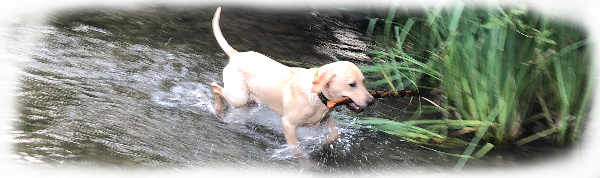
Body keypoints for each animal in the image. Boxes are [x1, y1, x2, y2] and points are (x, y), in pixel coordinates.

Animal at [209, 7, 372, 147]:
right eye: (352, 84)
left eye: (363, 82)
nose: (371, 101)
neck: (317, 96)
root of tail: (236, 54)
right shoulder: (289, 124)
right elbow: (296, 148)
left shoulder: (325, 120)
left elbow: (335, 133)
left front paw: (323, 144)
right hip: (239, 98)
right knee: (214, 87)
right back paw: (218, 108)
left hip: (249, 102)